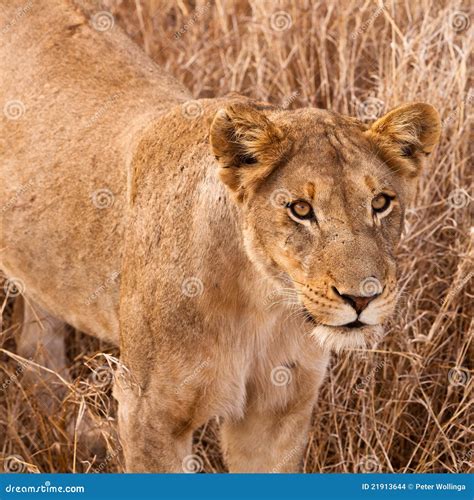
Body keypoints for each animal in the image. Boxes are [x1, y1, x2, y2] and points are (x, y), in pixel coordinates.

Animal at [0, 0, 440, 472]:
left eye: (380, 203)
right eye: (301, 210)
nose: (362, 298)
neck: (262, 305)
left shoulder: (278, 412)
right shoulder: (148, 412)